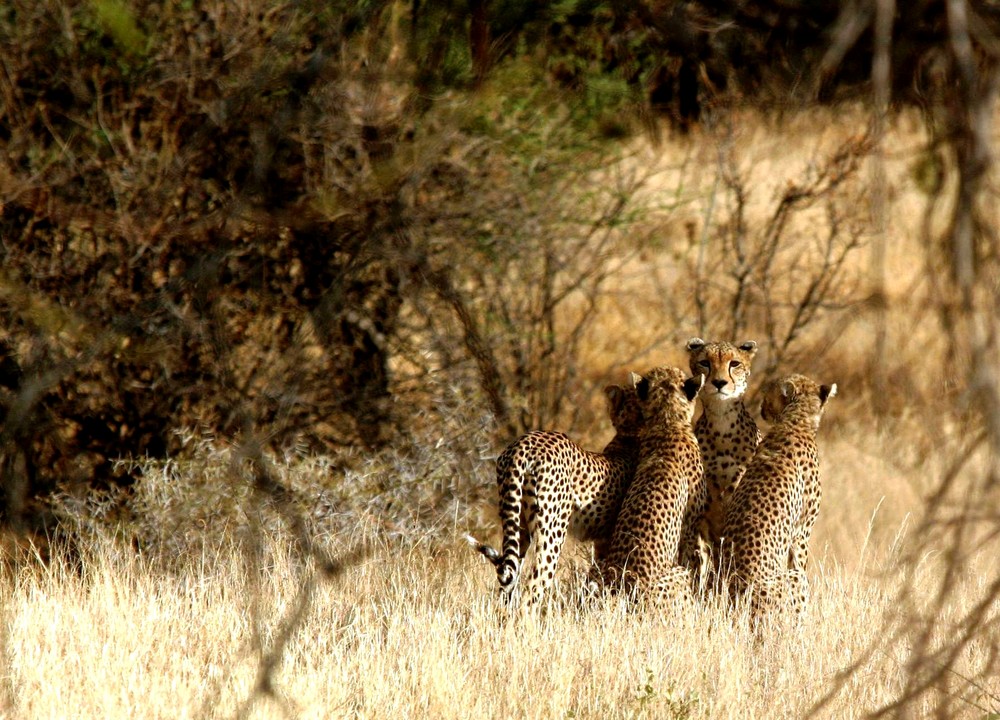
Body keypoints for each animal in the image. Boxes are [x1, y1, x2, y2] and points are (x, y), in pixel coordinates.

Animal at [466, 382, 640, 608]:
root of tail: (523, 443)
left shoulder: (604, 543)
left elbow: (596, 580)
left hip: (517, 523)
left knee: (507, 585)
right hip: (552, 531)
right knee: (532, 589)